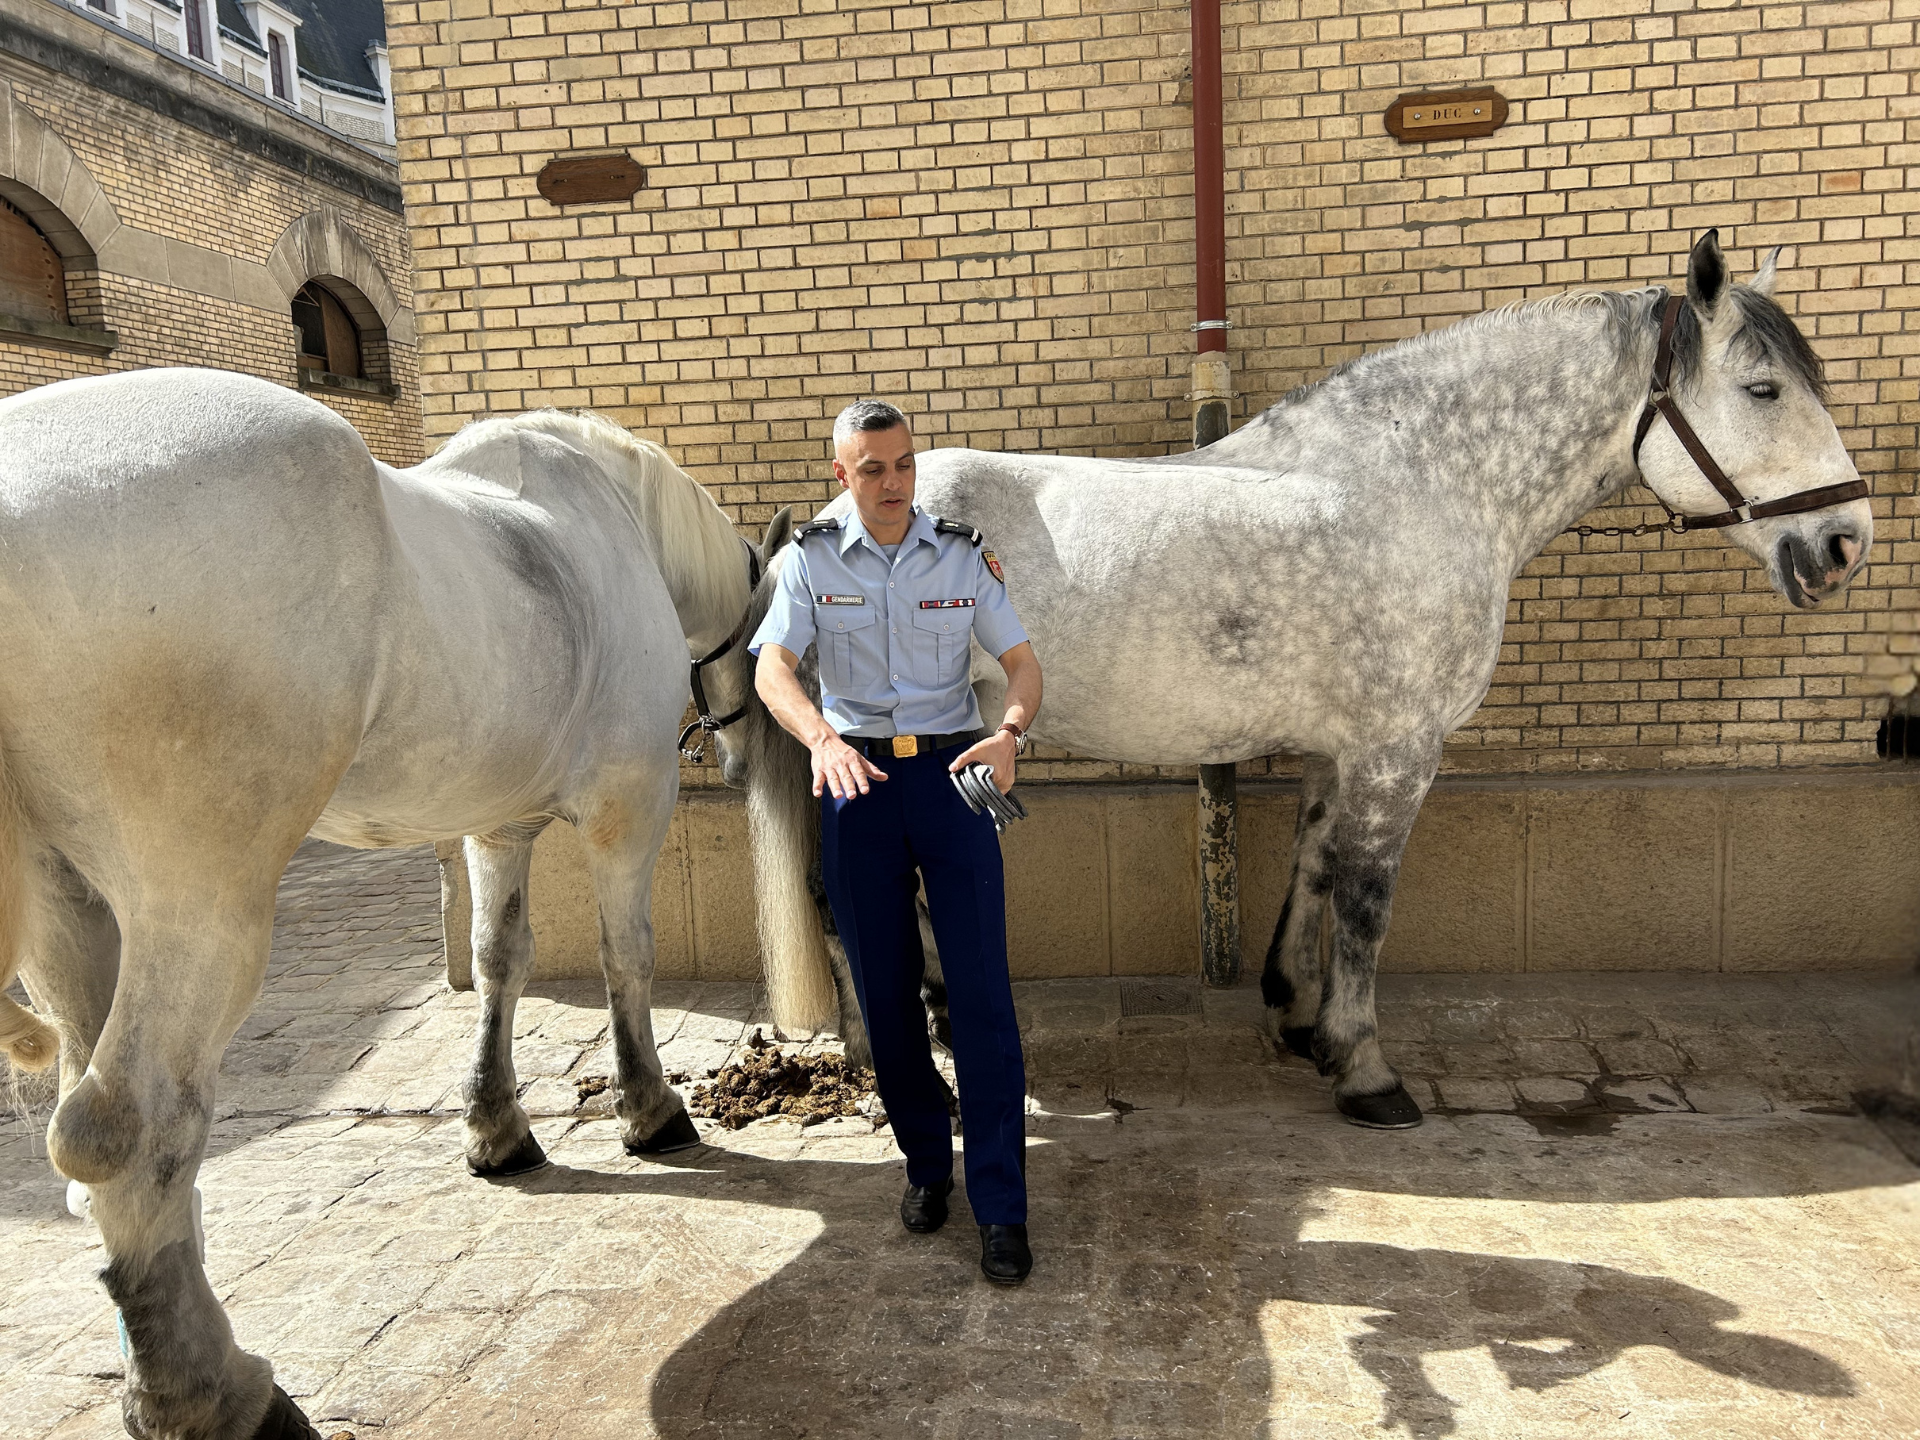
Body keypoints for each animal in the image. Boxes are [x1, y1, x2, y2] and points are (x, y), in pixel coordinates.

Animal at [0, 369, 757, 1440]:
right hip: (201, 905)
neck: (608, 524)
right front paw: (650, 1112)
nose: (737, 756)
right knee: (131, 1128)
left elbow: (499, 964)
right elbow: (627, 956)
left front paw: (498, 1130)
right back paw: (214, 1394)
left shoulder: (499, 828)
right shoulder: (630, 808)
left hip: (70, 909)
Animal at [710, 233, 1872, 1129]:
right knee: (841, 895)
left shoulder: (1343, 747)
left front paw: (1298, 1015)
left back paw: (938, 1020)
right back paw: (889, 1064)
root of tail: (818, 527)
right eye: (1763, 388)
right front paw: (1366, 1068)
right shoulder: (1402, 748)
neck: (1427, 482)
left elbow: (1314, 866)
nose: (1842, 543)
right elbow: (1366, 898)